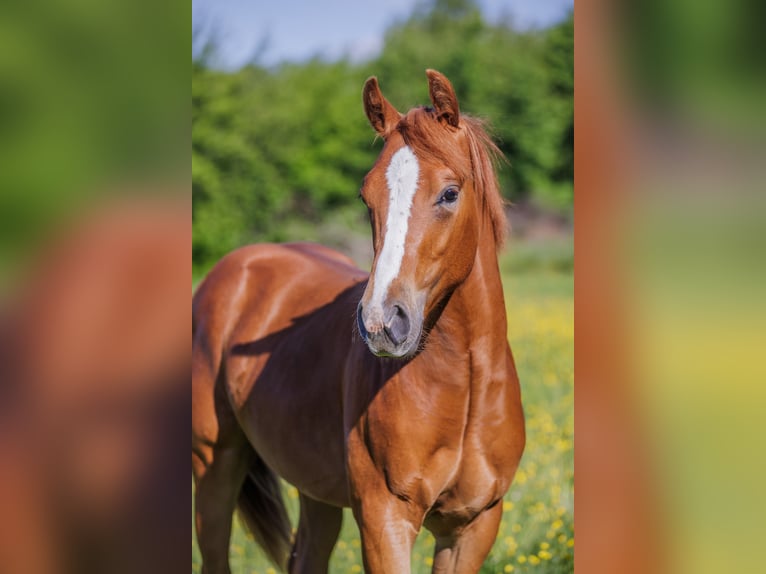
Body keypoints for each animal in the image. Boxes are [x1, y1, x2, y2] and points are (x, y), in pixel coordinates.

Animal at [192, 69, 525, 574]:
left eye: (449, 193)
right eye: (367, 197)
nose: (381, 323)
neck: (464, 387)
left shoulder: (473, 526)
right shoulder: (384, 519)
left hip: (315, 491)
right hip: (215, 465)